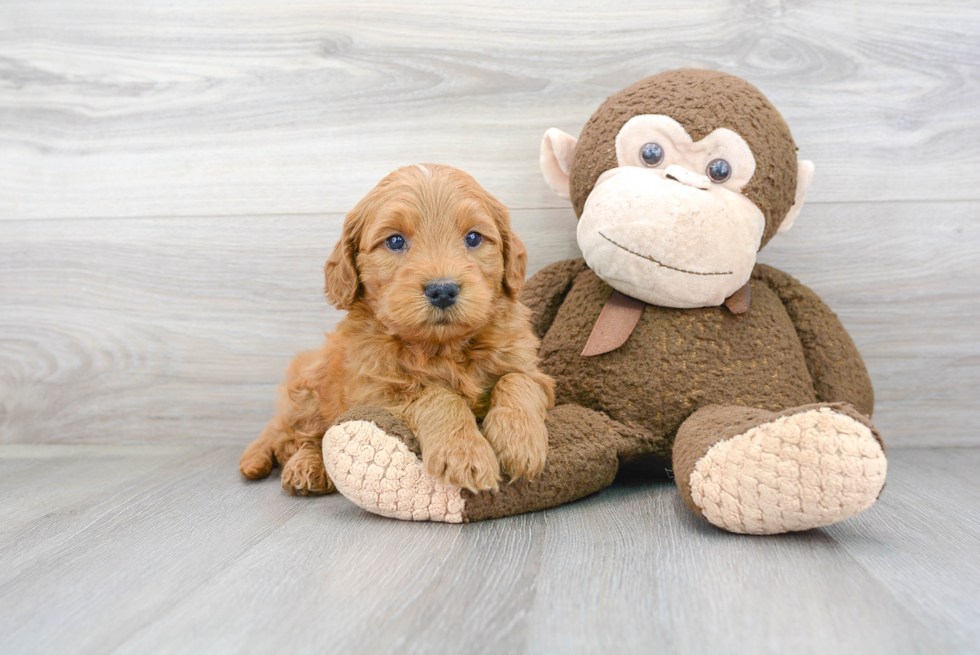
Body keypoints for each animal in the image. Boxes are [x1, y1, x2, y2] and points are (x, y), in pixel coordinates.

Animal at [239, 165, 552, 498]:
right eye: (395, 241)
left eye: (473, 238)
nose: (443, 290)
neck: (440, 347)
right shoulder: (379, 395)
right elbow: (437, 395)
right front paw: (463, 453)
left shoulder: (533, 370)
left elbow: (517, 380)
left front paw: (520, 441)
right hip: (309, 386)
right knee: (301, 438)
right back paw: (305, 468)